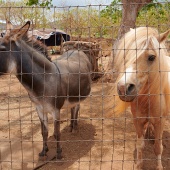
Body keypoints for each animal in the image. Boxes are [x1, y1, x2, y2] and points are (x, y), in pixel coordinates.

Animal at [0, 21, 97, 159]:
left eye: (1, 49)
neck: (44, 80)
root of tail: (77, 50)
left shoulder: (55, 110)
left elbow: (57, 133)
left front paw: (59, 154)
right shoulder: (40, 109)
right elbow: (44, 132)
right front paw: (44, 151)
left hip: (79, 94)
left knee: (77, 107)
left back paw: (75, 127)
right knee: (73, 107)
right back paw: (71, 126)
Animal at [113, 27, 170, 169]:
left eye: (151, 57)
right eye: (126, 55)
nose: (123, 88)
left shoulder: (160, 122)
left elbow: (158, 147)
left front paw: (159, 167)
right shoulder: (137, 121)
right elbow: (140, 145)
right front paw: (139, 164)